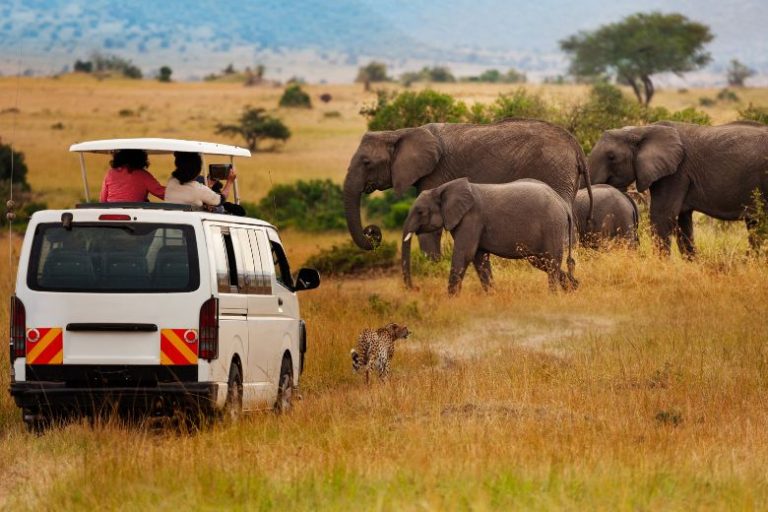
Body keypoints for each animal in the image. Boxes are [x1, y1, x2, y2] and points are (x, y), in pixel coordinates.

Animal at [344, 119, 592, 256]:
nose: (372, 231)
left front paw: (433, 269)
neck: (399, 132)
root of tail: (576, 146)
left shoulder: (436, 173)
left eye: (366, 162)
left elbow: (431, 229)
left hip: (554, 171)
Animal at [402, 177, 576, 294]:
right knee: (543, 261)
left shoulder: (471, 218)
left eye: (420, 212)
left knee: (551, 261)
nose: (415, 288)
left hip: (552, 225)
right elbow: (479, 257)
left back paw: (553, 295)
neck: (441, 189)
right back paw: (573, 288)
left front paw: (451, 300)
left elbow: (465, 254)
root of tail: (563, 204)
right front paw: (491, 295)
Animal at [588, 122, 768, 254]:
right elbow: (683, 223)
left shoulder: (676, 174)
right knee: (754, 224)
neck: (643, 130)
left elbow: (661, 217)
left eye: (611, 157)